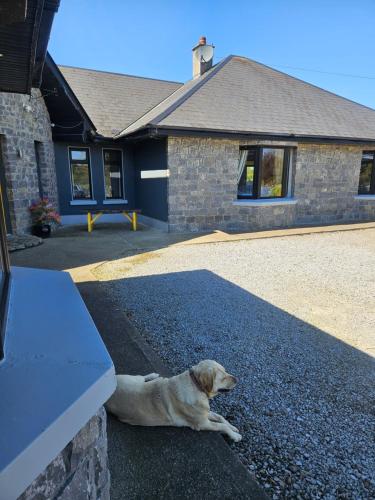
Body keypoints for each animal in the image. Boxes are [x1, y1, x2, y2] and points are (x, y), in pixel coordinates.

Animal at [106, 360, 242, 442]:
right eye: (223, 377)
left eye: (226, 371)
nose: (237, 379)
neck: (195, 385)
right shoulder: (202, 423)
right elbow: (221, 426)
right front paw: (235, 435)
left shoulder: (205, 412)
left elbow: (220, 417)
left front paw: (233, 427)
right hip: (133, 380)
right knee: (141, 377)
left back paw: (153, 376)